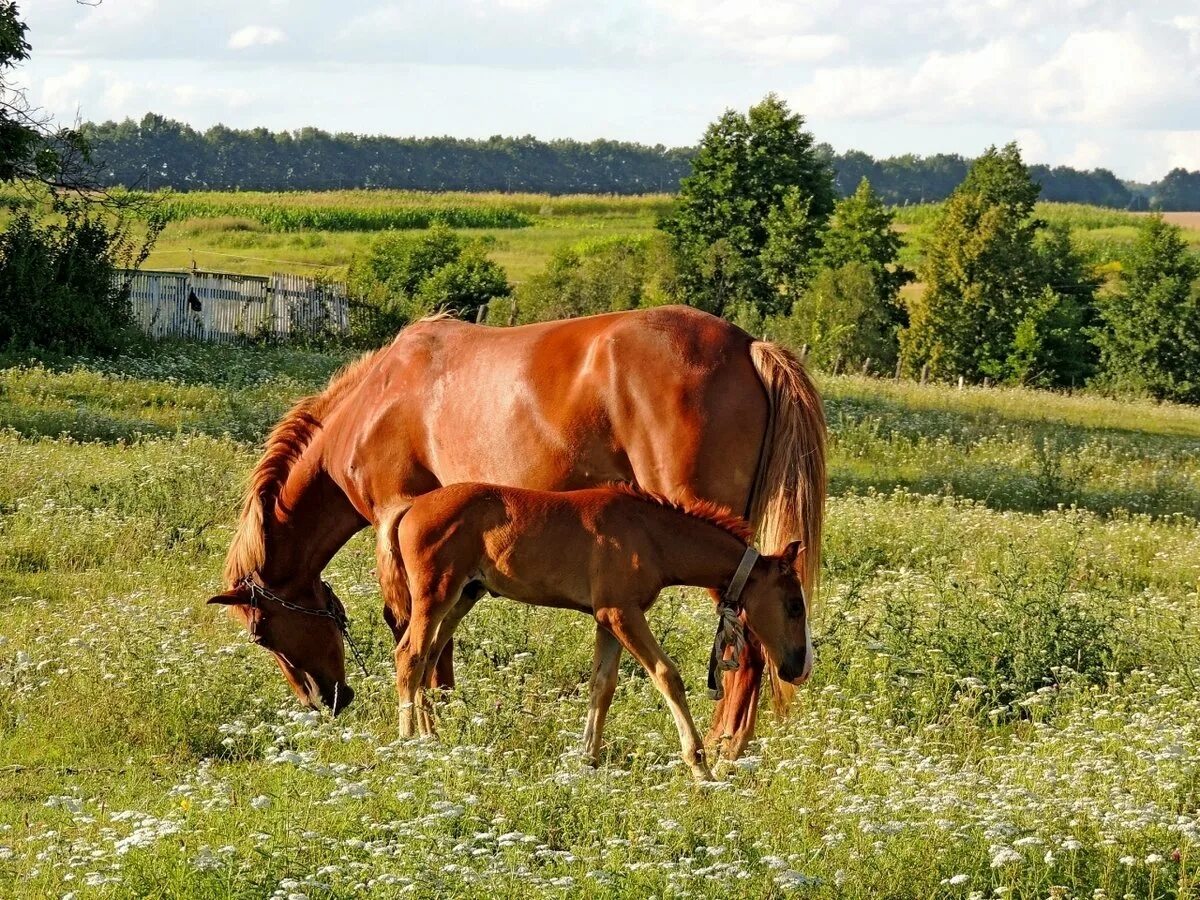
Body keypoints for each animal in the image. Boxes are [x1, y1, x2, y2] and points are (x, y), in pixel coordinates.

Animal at [388, 487, 811, 782]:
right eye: (794, 605)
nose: (799, 668)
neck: (649, 533)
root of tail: (411, 506)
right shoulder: (622, 613)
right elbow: (667, 675)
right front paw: (700, 768)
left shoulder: (606, 620)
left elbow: (602, 685)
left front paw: (588, 760)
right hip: (435, 596)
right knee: (410, 656)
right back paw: (408, 745)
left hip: (463, 596)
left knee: (429, 659)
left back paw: (431, 740)